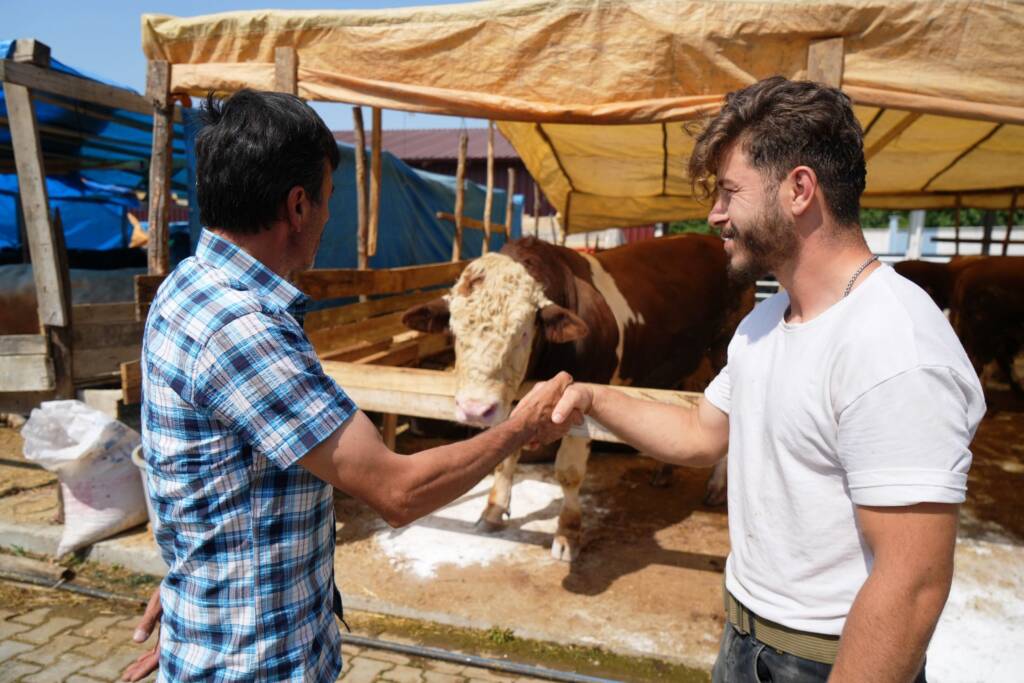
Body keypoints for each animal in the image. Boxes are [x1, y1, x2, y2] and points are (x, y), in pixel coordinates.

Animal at [403, 235, 757, 561]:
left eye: (523, 332)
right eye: (454, 329)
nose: (475, 409)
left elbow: (569, 472)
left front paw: (568, 533)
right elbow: (505, 456)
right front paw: (493, 510)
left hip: (723, 350)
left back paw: (715, 487)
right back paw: (664, 472)